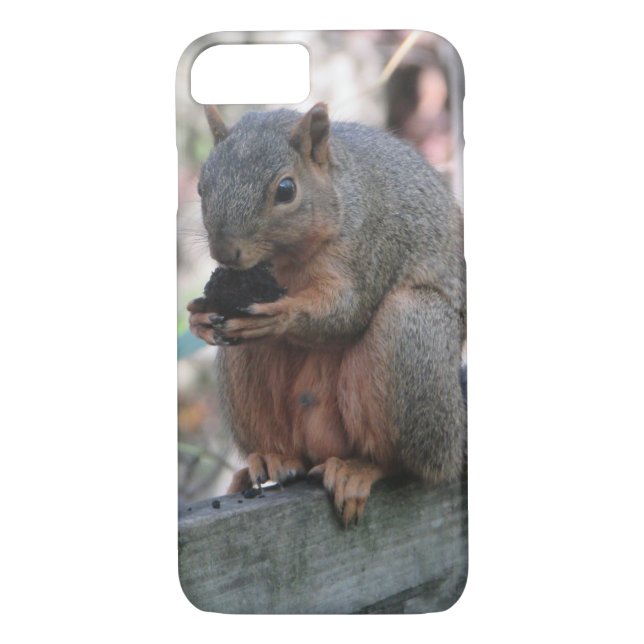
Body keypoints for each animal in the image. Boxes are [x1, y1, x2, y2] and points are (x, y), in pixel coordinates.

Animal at [188, 103, 466, 526]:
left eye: (286, 190)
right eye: (202, 186)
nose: (224, 252)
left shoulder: (369, 246)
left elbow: (347, 310)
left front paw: (282, 314)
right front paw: (197, 319)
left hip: (412, 337)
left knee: (408, 464)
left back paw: (359, 469)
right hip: (244, 373)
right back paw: (271, 458)